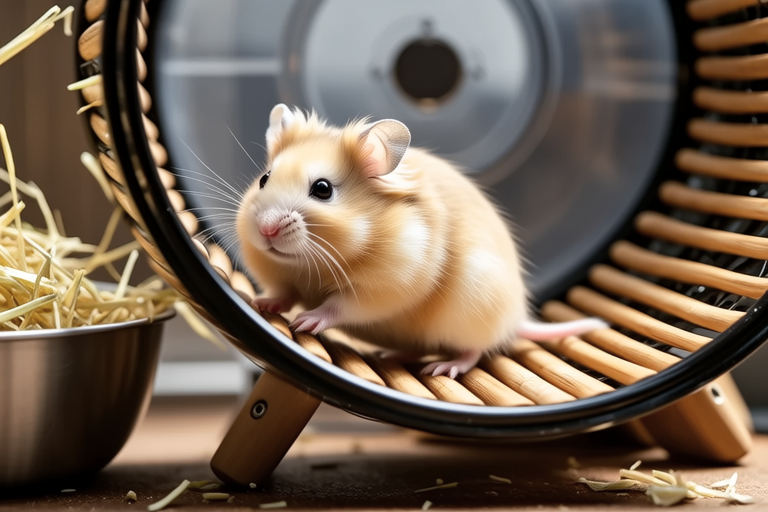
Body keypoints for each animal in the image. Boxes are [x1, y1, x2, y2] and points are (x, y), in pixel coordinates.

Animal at [236, 104, 608, 379]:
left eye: (323, 189)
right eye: (265, 179)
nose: (266, 230)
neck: (311, 262)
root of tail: (516, 319)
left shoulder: (385, 286)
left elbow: (339, 305)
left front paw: (306, 321)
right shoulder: (285, 279)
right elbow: (284, 293)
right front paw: (261, 304)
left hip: (471, 308)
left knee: (474, 350)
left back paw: (443, 368)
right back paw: (390, 353)